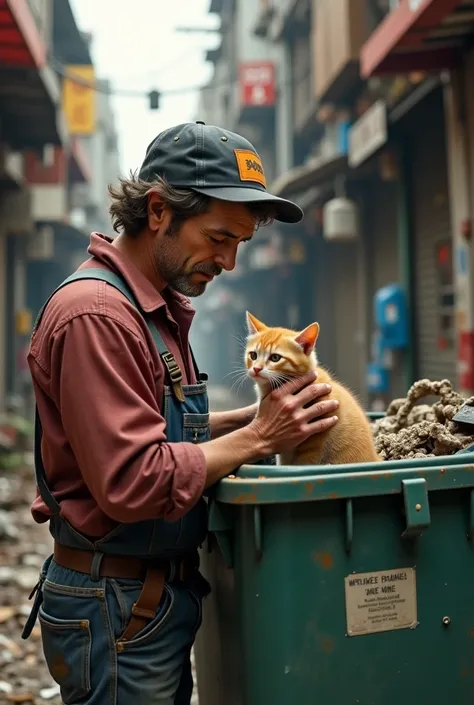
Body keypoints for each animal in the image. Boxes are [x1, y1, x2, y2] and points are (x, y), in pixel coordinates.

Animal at [246, 310, 380, 464]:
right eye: (253, 355)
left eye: (275, 358)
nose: (256, 369)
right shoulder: (284, 446)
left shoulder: (315, 440)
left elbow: (304, 463)